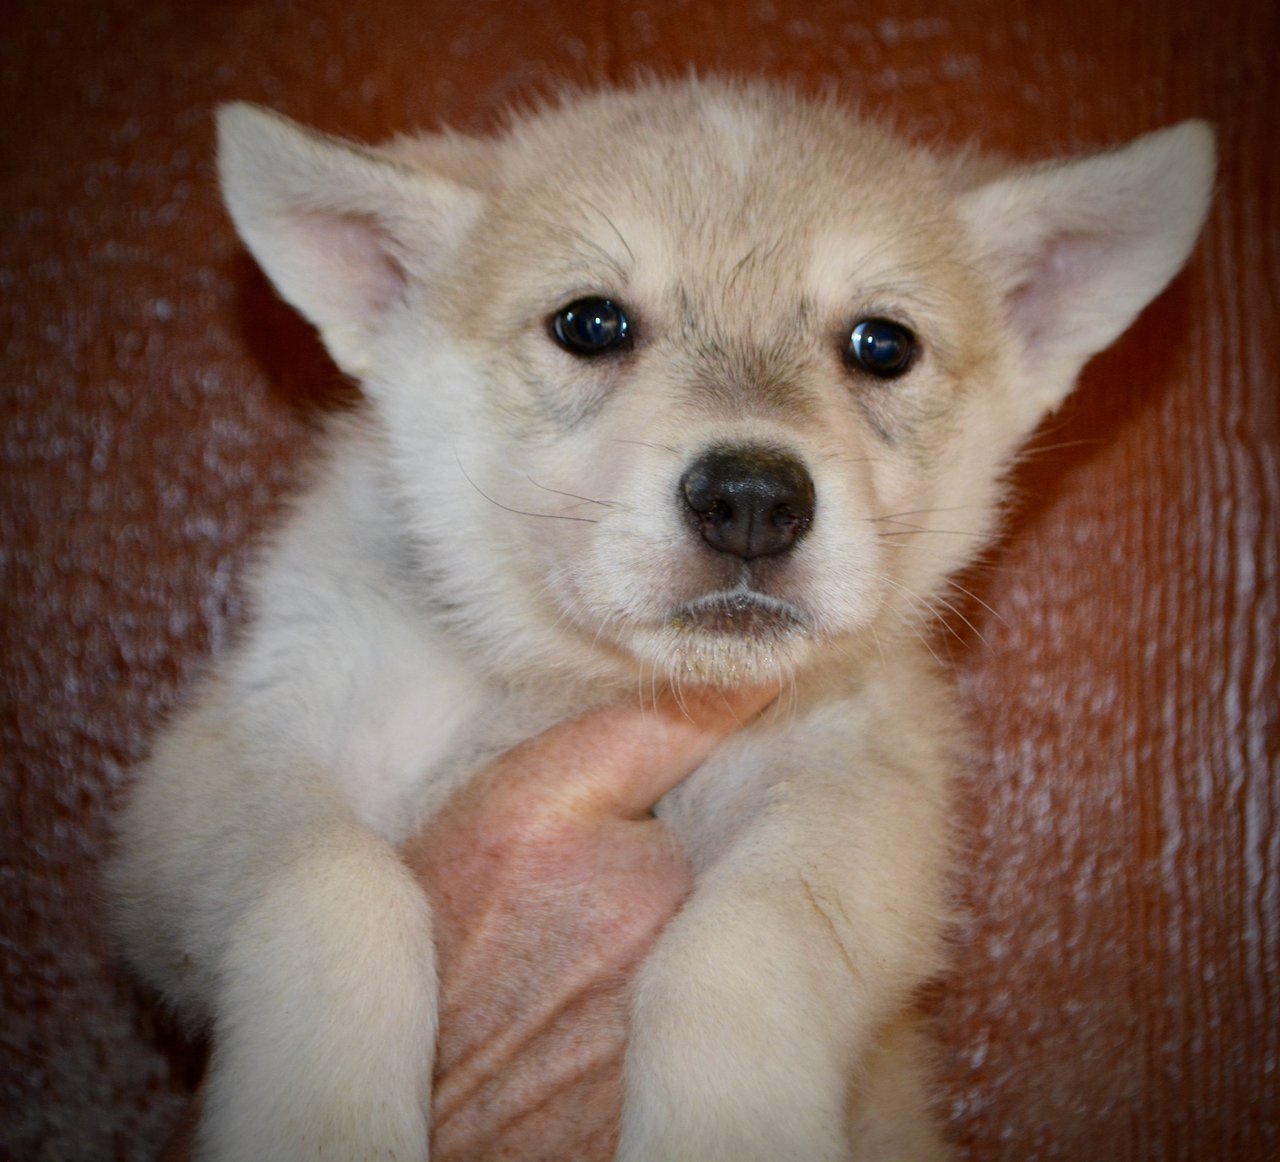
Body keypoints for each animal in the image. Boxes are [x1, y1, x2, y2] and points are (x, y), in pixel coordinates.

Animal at [107, 77, 1208, 1156]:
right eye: (591, 323)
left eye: (882, 345)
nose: (752, 499)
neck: (572, 681)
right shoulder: (233, 757)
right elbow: (334, 883)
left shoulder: (857, 792)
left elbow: (741, 941)